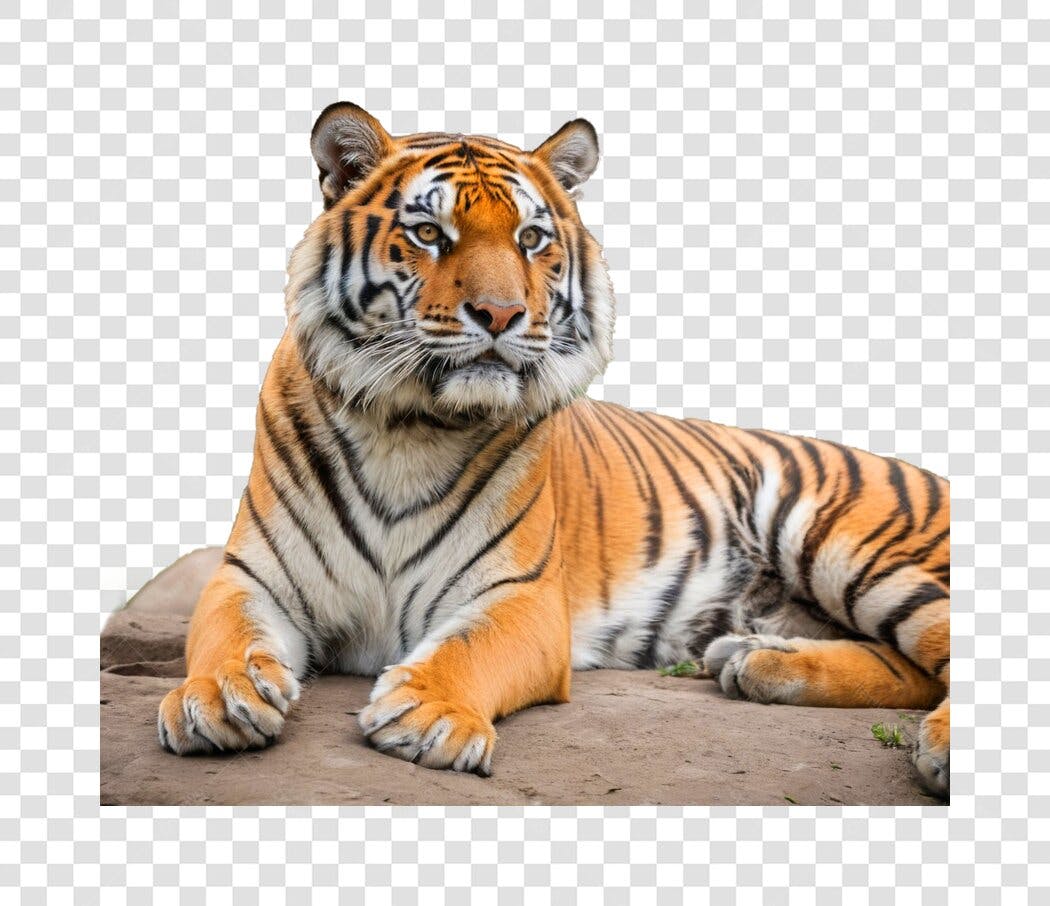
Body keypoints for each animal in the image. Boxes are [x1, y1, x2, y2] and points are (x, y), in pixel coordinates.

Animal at [157, 102, 950, 799]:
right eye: (429, 232)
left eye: (532, 240)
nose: (501, 314)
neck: (408, 427)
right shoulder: (253, 576)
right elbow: (226, 635)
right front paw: (216, 697)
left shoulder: (522, 596)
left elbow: (465, 648)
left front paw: (428, 716)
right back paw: (756, 661)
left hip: (852, 542)